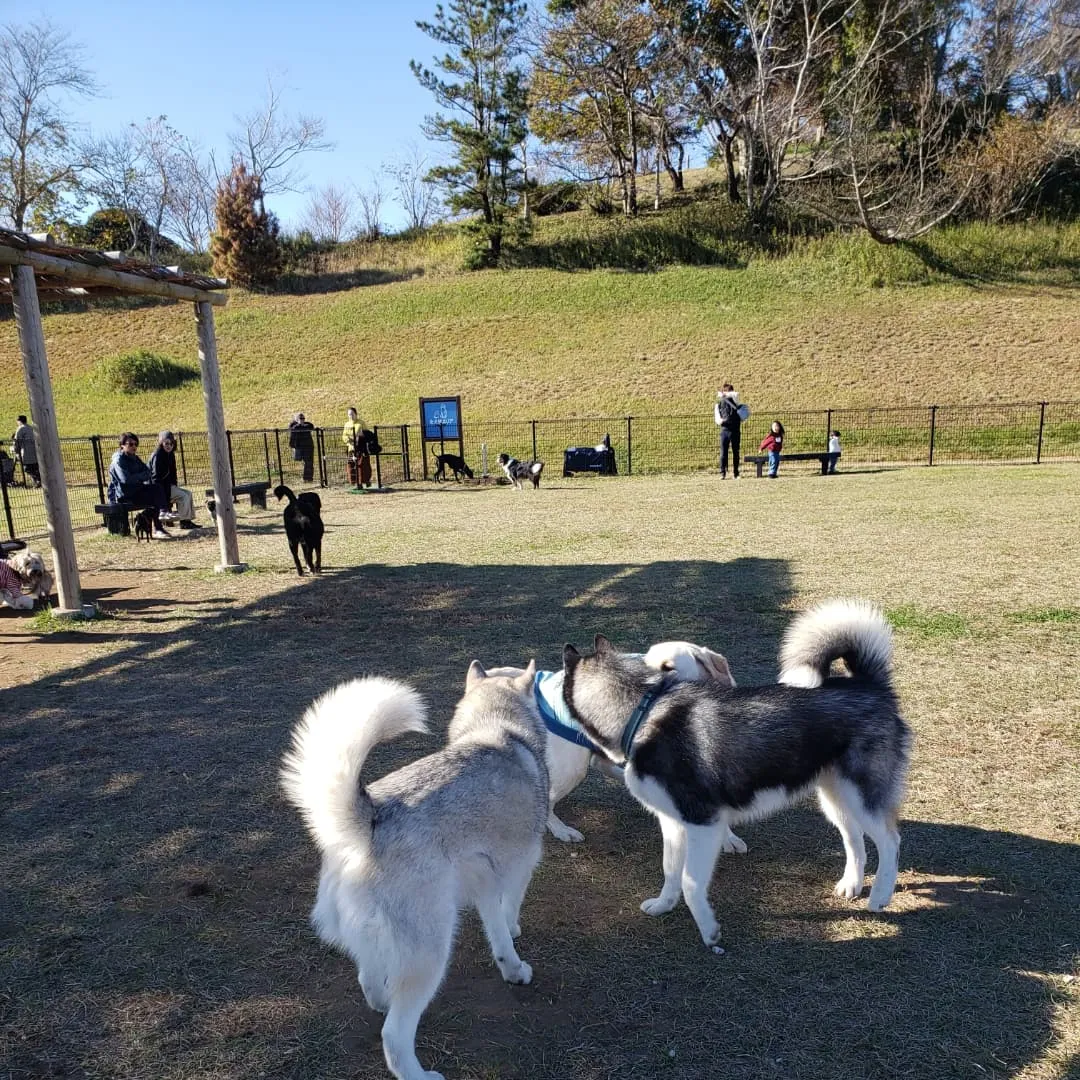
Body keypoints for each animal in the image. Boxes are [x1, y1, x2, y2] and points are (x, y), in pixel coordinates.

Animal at [561, 604, 907, 950]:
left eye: (668, 667)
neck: (641, 713)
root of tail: (868, 683)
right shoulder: (673, 823)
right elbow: (670, 872)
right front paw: (663, 905)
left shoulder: (704, 825)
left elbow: (690, 883)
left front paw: (709, 931)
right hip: (835, 797)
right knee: (853, 837)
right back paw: (852, 884)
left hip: (862, 797)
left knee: (890, 841)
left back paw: (880, 895)